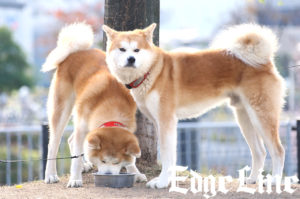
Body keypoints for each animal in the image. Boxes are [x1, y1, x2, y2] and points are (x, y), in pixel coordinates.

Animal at [42, 22, 146, 187]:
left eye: (116, 163)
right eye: (103, 161)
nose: (108, 175)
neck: (111, 103)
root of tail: (74, 52)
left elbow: (131, 158)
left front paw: (136, 172)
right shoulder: (82, 126)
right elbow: (76, 159)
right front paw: (75, 179)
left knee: (71, 140)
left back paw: (84, 165)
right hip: (62, 110)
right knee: (53, 145)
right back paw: (51, 175)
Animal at [103, 23, 286, 188]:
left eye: (137, 50)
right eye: (122, 49)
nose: (131, 59)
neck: (153, 71)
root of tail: (265, 61)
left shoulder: (166, 121)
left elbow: (167, 155)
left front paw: (162, 182)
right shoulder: (158, 122)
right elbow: (169, 155)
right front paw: (167, 181)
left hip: (261, 116)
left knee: (278, 150)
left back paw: (275, 181)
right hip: (245, 118)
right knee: (260, 152)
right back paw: (252, 179)